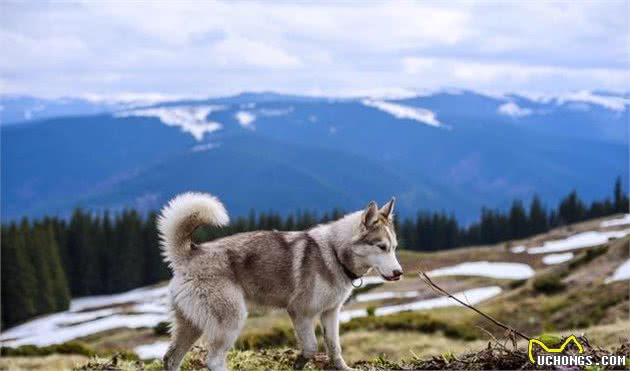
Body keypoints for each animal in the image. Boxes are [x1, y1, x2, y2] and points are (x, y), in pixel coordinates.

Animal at [159, 193, 404, 370]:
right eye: (381, 247)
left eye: (394, 247)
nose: (399, 272)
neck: (334, 253)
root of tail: (190, 253)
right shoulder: (300, 312)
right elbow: (311, 347)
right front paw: (299, 363)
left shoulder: (330, 313)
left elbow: (334, 347)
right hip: (230, 320)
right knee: (213, 361)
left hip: (191, 325)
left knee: (170, 358)